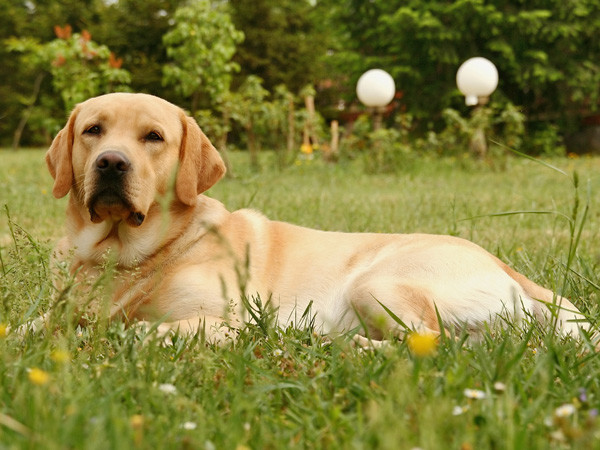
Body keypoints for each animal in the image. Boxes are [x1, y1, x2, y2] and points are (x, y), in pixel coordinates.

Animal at [35, 91, 588, 344]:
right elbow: (33, 324)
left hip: (377, 285)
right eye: (93, 130)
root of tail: (507, 268)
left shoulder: (227, 321)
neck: (128, 254)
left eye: (153, 137)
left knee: (438, 348)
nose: (111, 163)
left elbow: (135, 330)